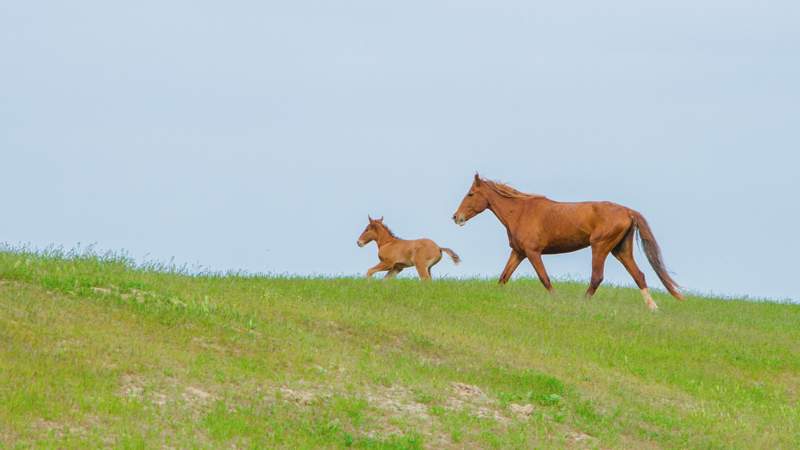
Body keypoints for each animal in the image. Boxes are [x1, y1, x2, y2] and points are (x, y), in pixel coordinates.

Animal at [454, 173, 684, 310]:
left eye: (471, 193)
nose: (456, 217)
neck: (520, 212)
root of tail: (628, 211)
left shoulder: (533, 252)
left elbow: (544, 279)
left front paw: (557, 301)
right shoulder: (518, 252)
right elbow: (503, 277)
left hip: (600, 247)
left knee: (597, 277)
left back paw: (582, 305)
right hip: (621, 250)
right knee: (639, 275)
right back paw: (653, 308)